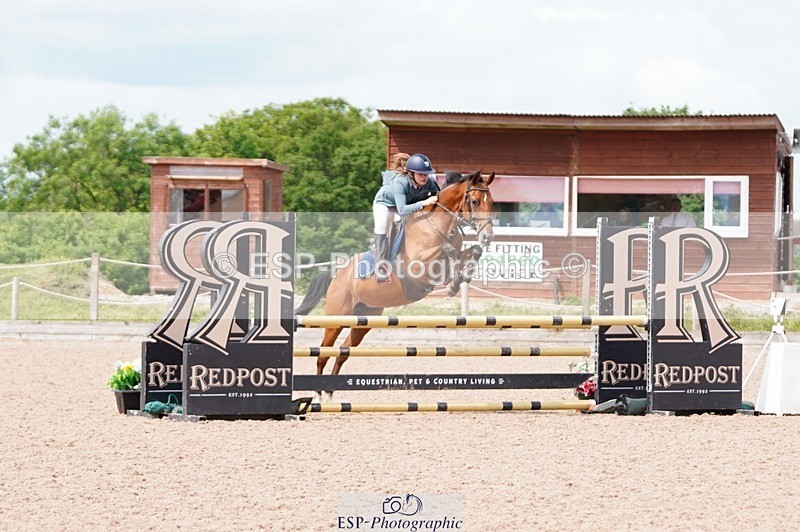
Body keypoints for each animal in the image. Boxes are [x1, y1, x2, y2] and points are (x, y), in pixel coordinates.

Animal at [295, 170, 495, 401]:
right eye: (475, 201)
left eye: (492, 202)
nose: (487, 237)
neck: (439, 225)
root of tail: (337, 273)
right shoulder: (418, 266)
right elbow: (448, 250)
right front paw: (454, 282)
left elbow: (471, 252)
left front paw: (459, 279)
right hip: (337, 317)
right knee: (323, 353)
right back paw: (317, 395)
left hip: (365, 319)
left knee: (342, 352)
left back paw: (328, 392)